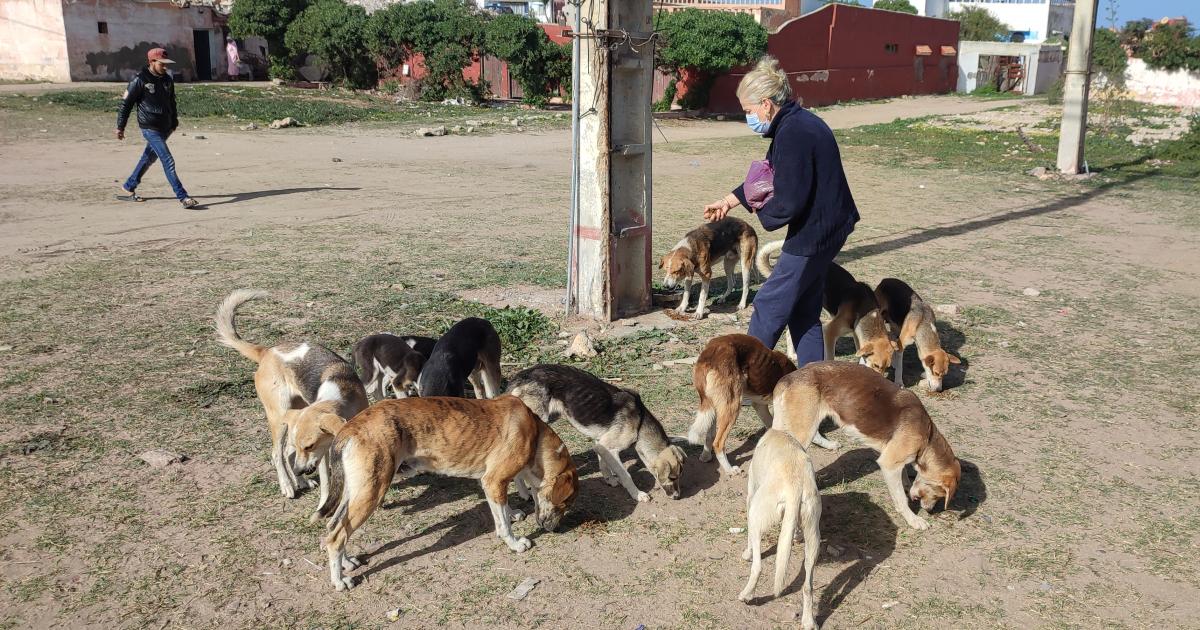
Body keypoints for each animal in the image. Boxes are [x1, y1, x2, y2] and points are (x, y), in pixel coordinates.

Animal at [213, 286, 367, 499]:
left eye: (310, 446)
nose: (299, 470)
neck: (342, 394)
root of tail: (267, 352)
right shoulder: (323, 454)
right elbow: (327, 484)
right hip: (278, 418)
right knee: (277, 454)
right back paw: (287, 484)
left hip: (293, 415)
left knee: (287, 453)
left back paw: (300, 481)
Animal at [508, 362, 691, 501]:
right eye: (672, 477)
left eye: (679, 477)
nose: (677, 497)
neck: (640, 421)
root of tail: (519, 377)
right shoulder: (611, 448)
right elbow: (626, 475)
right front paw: (638, 494)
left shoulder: (600, 444)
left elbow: (603, 464)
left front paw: (610, 480)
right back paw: (525, 494)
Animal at [691, 333, 840, 477]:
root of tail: (709, 354)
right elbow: (815, 434)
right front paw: (829, 444)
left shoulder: (759, 405)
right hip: (732, 405)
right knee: (718, 443)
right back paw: (729, 469)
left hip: (713, 404)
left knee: (709, 435)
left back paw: (705, 456)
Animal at [734, 424, 820, 624]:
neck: (782, 431)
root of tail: (795, 485)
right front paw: (796, 537)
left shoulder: (751, 495)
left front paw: (746, 553)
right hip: (814, 539)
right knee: (808, 586)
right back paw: (808, 621)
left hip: (755, 513)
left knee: (758, 566)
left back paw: (746, 594)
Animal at [772, 357, 960, 530]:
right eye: (939, 495)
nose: (929, 510)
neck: (927, 436)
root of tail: (788, 378)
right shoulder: (889, 464)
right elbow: (901, 499)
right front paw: (913, 519)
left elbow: (905, 477)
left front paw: (907, 485)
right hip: (802, 434)